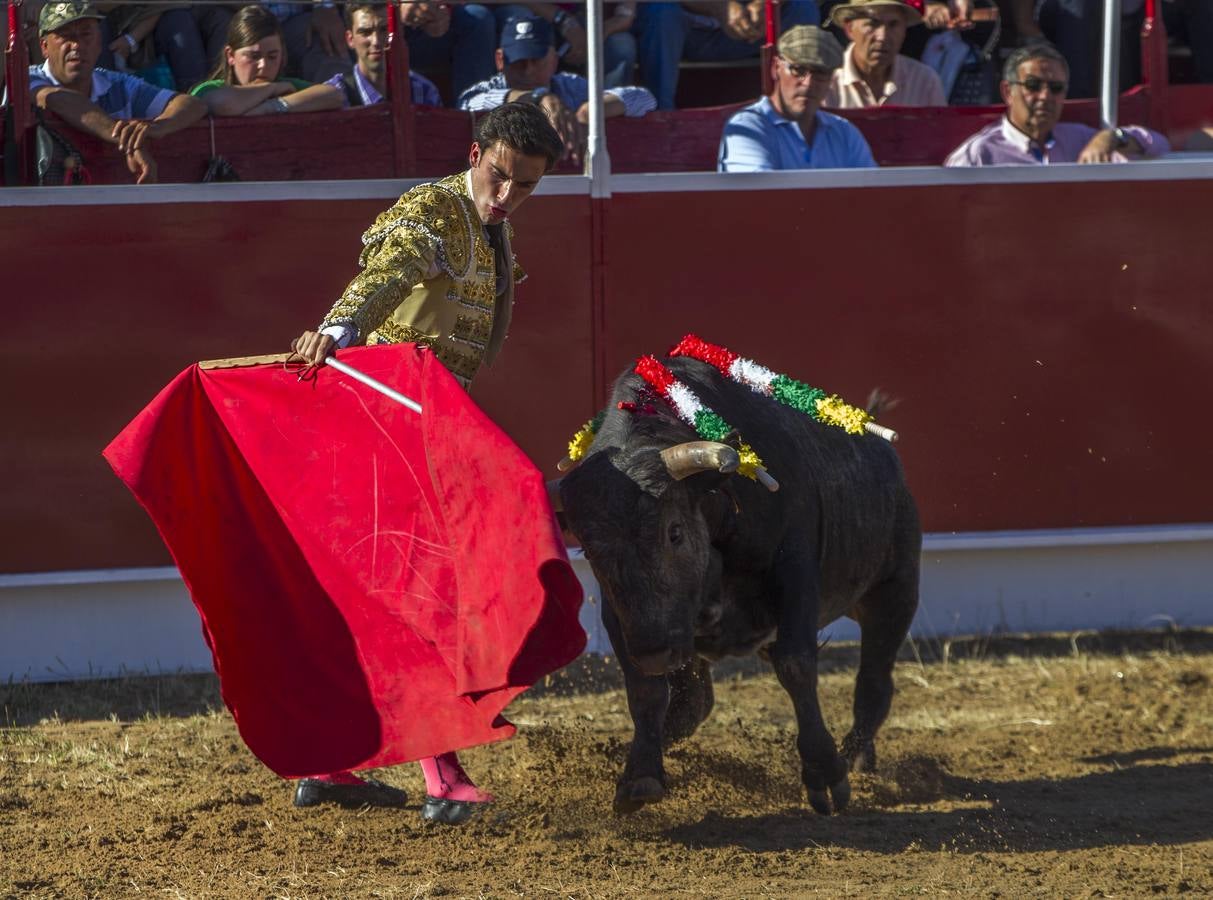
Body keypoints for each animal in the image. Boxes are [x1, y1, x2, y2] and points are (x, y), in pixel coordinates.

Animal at [557, 359, 917, 819]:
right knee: (693, 703)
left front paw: (825, 772)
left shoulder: (794, 572)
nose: (656, 654)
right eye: (589, 549)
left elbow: (796, 666)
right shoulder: (624, 617)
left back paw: (854, 757)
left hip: (894, 591)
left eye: (674, 532)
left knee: (874, 683)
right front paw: (640, 773)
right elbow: (645, 689)